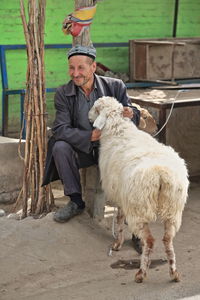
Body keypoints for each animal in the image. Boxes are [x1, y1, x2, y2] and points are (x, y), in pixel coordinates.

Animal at [89, 96, 189, 284]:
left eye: (95, 108)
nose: (88, 116)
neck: (118, 130)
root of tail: (160, 174)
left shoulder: (120, 197)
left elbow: (120, 220)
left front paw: (117, 243)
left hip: (139, 208)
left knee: (150, 241)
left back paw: (141, 273)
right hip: (173, 209)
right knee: (167, 240)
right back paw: (174, 273)